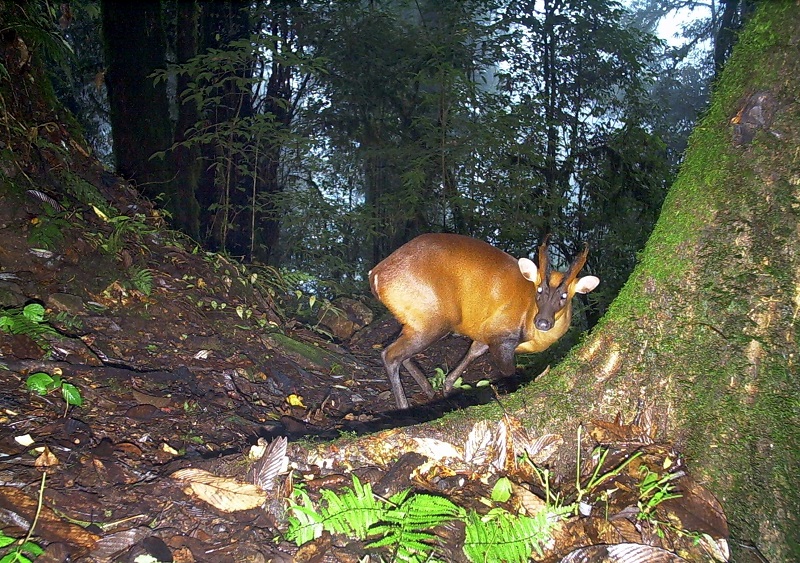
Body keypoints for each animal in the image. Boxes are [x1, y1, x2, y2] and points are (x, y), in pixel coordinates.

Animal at [368, 234, 600, 410]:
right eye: (539, 290)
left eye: (564, 296)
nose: (542, 323)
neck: (528, 318)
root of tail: (376, 274)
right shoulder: (502, 336)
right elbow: (508, 374)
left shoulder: (484, 333)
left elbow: (473, 352)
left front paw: (448, 388)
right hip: (432, 319)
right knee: (390, 355)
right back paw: (404, 408)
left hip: (418, 320)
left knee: (400, 350)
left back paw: (428, 390)